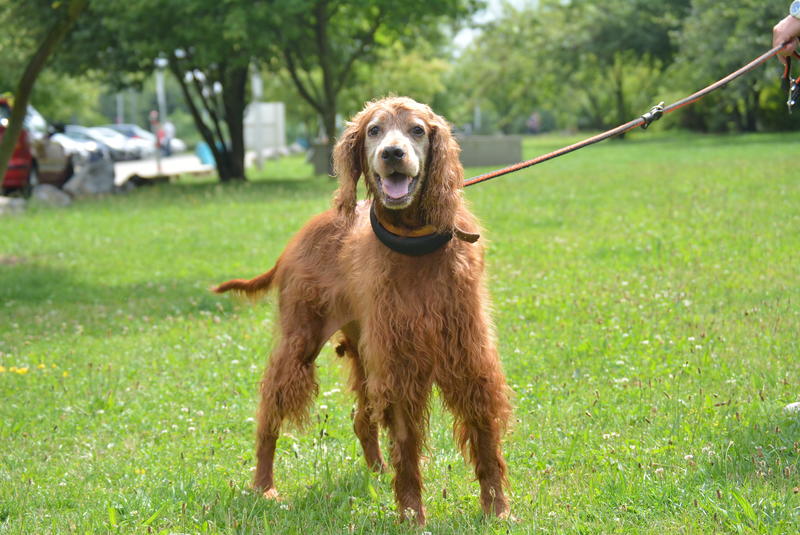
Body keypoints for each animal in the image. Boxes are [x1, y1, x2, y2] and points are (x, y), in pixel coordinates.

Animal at [216, 96, 510, 524]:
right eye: (374, 130)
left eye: (417, 129)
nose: (392, 153)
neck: (415, 243)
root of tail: (298, 239)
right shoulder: (400, 363)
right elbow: (406, 448)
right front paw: (411, 515)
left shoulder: (469, 357)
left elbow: (485, 440)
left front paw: (497, 509)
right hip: (300, 344)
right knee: (269, 414)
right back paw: (264, 486)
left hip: (364, 354)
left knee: (361, 420)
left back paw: (377, 470)